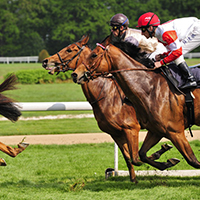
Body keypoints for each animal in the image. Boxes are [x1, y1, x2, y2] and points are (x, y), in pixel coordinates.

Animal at [42, 35, 173, 182]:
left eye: (69, 49)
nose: (46, 61)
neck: (106, 95)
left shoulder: (131, 128)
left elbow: (136, 157)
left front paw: (163, 157)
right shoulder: (115, 133)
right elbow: (129, 158)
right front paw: (134, 180)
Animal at [71, 38, 200, 170]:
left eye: (94, 55)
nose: (75, 74)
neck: (150, 88)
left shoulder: (172, 131)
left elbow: (193, 161)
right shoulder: (154, 130)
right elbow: (139, 156)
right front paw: (166, 161)